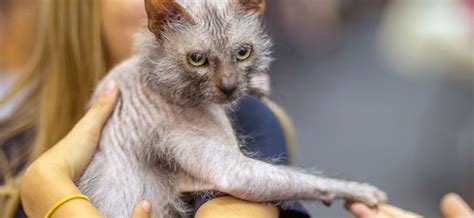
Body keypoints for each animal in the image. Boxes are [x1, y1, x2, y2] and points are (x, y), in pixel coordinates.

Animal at [77, 0, 386, 216]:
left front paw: (258, 85)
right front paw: (361, 191)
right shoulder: (230, 171)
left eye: (243, 53)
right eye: (197, 59)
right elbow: (307, 179)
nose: (229, 87)